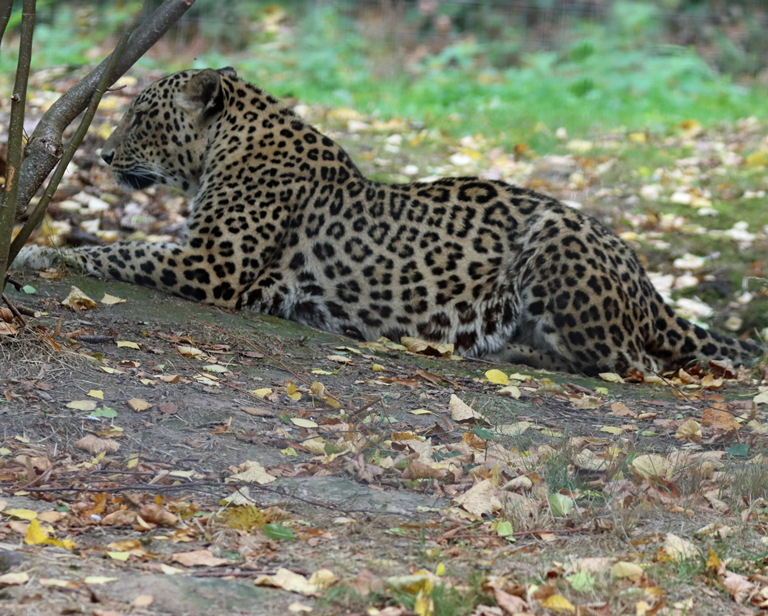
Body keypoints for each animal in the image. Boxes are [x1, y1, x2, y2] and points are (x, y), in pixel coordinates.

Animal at [14, 67, 764, 376]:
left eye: (142, 115)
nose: (103, 154)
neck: (228, 146)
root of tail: (642, 273)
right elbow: (126, 244)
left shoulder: (213, 263)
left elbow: (123, 250)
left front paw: (41, 252)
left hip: (557, 243)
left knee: (639, 363)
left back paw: (512, 352)